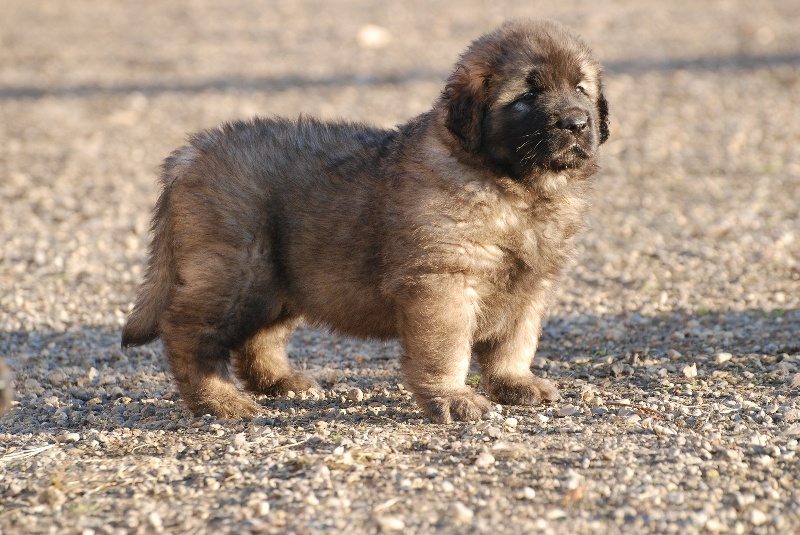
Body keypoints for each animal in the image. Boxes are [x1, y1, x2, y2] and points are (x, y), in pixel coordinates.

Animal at [122, 19, 608, 422]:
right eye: (527, 95)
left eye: (581, 88)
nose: (576, 123)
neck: (516, 188)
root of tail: (191, 153)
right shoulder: (443, 282)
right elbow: (448, 349)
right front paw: (453, 397)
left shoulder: (530, 283)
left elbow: (515, 341)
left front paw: (515, 384)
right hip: (237, 270)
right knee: (188, 331)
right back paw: (219, 400)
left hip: (281, 279)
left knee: (258, 337)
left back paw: (282, 382)